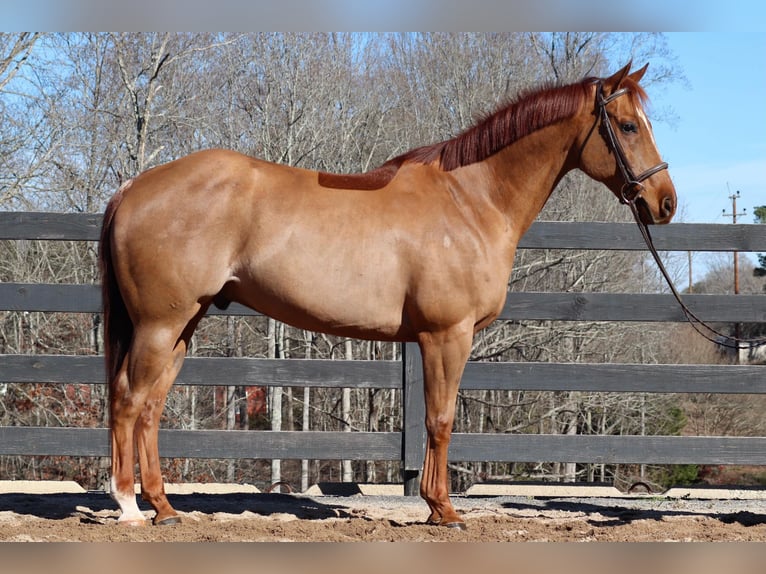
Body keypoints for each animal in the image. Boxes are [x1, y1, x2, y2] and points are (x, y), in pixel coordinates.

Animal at [97, 63, 680, 532]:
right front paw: (443, 511)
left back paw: (165, 508)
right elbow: (440, 419)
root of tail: (134, 188)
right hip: (160, 324)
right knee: (128, 400)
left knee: (150, 407)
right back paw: (128, 507)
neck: (470, 200)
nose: (665, 202)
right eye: (628, 125)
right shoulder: (447, 336)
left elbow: (436, 420)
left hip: (183, 325)